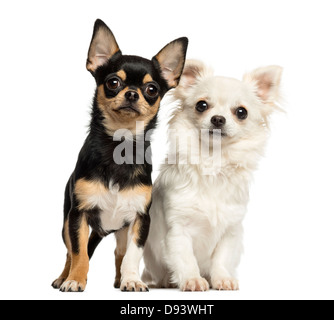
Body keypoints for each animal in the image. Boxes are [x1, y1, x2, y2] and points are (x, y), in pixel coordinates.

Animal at [51, 18, 188, 292]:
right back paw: (64, 276)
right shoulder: (78, 216)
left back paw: (119, 279)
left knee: (120, 252)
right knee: (70, 252)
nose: (133, 93)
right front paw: (75, 280)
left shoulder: (139, 219)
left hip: (121, 229)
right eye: (113, 83)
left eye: (152, 89)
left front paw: (132, 280)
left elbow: (131, 255)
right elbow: (80, 253)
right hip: (65, 223)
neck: (119, 146)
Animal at [142, 59, 284, 290]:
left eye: (241, 112)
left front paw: (223, 279)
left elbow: (221, 258)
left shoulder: (231, 231)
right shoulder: (178, 229)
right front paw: (192, 279)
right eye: (201, 105)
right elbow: (185, 258)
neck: (213, 161)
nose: (218, 119)